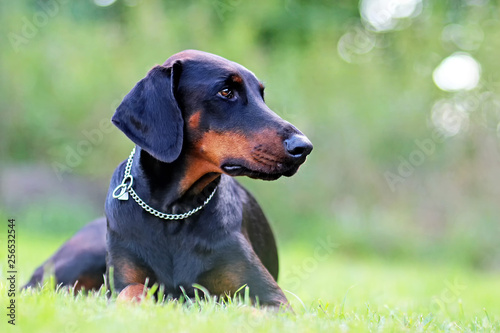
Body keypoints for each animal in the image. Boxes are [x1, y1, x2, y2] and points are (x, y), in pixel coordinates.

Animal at [24, 50, 312, 308]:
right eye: (226, 92)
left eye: (261, 96)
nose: (304, 147)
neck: (174, 210)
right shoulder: (121, 283)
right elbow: (132, 292)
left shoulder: (270, 298)